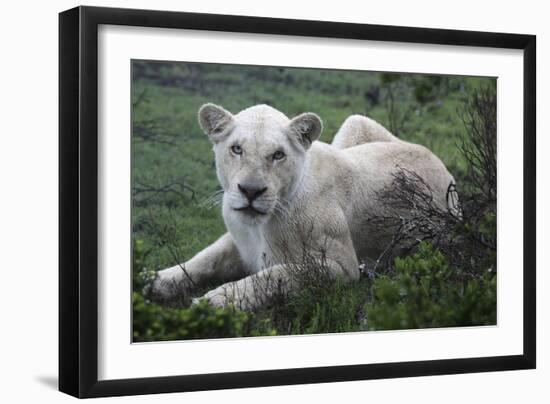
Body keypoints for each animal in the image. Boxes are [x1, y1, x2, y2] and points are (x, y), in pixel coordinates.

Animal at [148, 103, 458, 310]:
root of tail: (439, 161)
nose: (250, 191)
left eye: (278, 155)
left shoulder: (343, 266)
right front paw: (155, 280)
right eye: (237, 149)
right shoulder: (238, 242)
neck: (260, 226)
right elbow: (204, 259)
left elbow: (277, 274)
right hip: (355, 124)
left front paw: (215, 300)